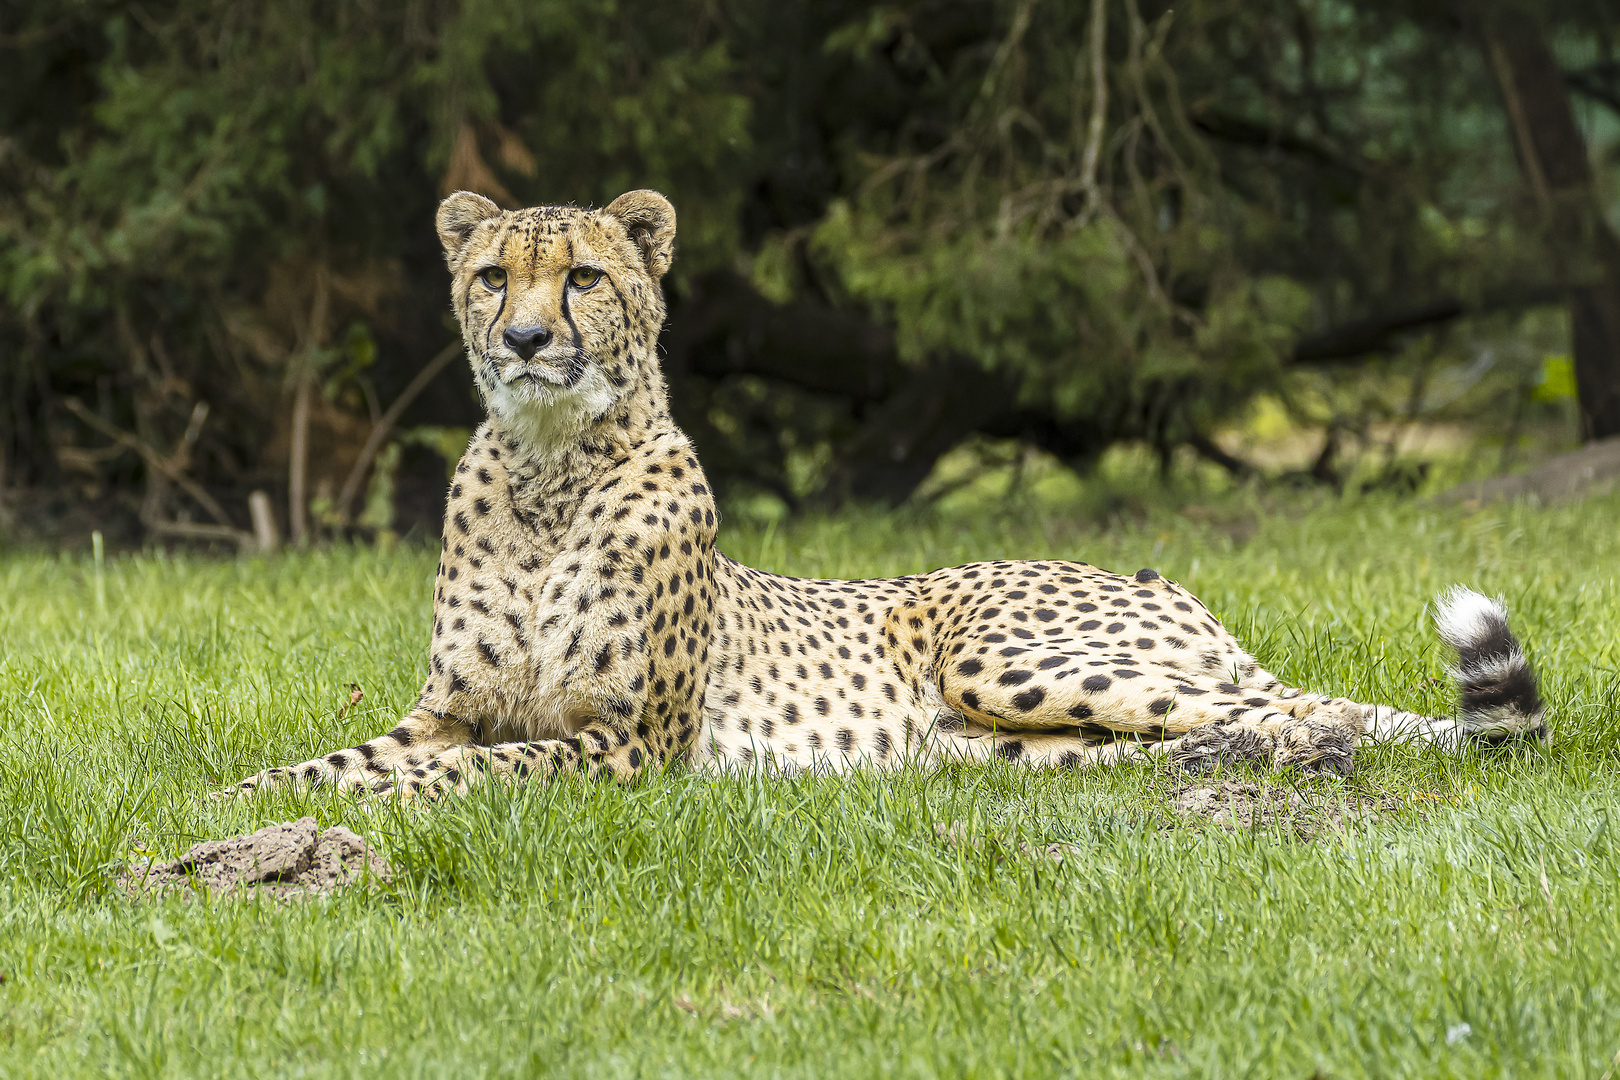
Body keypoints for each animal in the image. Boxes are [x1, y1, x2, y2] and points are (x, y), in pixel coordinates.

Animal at [228, 191, 1542, 803]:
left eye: (585, 277)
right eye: (494, 274)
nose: (527, 338)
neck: (551, 470)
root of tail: (1150, 574)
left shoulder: (628, 742)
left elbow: (465, 775)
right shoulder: (447, 708)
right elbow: (335, 761)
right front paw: (233, 800)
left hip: (1006, 660)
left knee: (1284, 708)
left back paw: (1309, 750)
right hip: (984, 740)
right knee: (1184, 733)